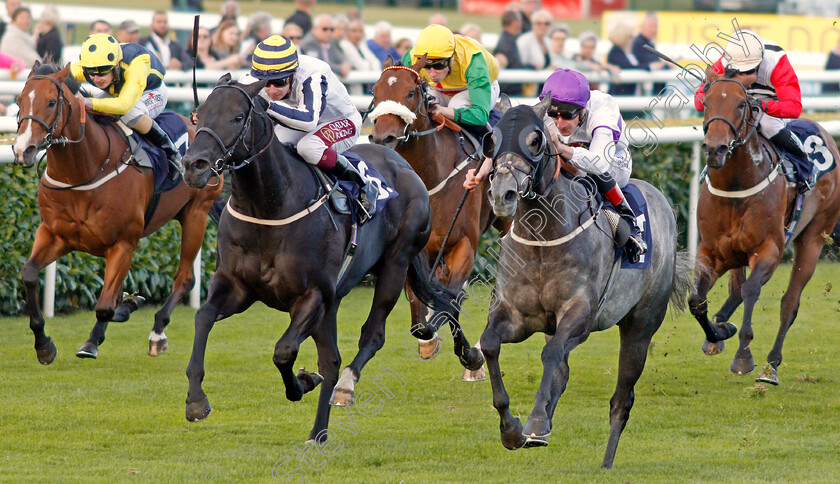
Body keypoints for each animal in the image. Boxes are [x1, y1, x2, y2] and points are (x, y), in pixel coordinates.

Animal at [11, 61, 221, 364]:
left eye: (51, 102)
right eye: (18, 101)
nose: (22, 150)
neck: (85, 170)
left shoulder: (122, 243)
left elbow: (105, 306)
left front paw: (112, 320)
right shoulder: (55, 234)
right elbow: (28, 274)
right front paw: (44, 345)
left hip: (196, 214)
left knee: (185, 278)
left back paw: (157, 333)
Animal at [180, 73, 456, 440]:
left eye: (238, 117)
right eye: (198, 116)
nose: (194, 166)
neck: (270, 207)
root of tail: (403, 164)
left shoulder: (313, 295)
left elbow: (284, 351)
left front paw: (303, 383)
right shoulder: (237, 287)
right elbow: (203, 318)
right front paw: (196, 400)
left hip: (394, 265)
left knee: (370, 336)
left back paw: (339, 396)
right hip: (337, 300)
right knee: (334, 356)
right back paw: (320, 430)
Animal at [370, 54, 498, 380]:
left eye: (410, 93)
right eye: (375, 91)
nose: (383, 137)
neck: (432, 174)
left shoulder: (464, 245)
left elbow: (450, 301)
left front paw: (472, 357)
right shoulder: (413, 250)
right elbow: (421, 319)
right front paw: (431, 340)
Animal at [480, 94, 688, 468]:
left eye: (535, 140)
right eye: (492, 140)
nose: (502, 194)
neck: (544, 237)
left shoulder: (580, 314)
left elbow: (550, 354)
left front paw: (535, 421)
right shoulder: (516, 315)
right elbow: (490, 344)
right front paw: (513, 430)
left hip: (641, 325)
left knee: (621, 399)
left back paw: (606, 462)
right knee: (561, 371)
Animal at [688, 69, 840, 386]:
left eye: (741, 105)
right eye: (706, 101)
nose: (715, 149)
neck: (736, 186)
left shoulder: (769, 249)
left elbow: (751, 290)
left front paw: (743, 357)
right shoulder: (711, 251)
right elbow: (697, 299)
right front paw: (718, 333)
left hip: (814, 236)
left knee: (789, 303)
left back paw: (770, 367)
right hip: (734, 254)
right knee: (734, 289)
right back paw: (719, 331)